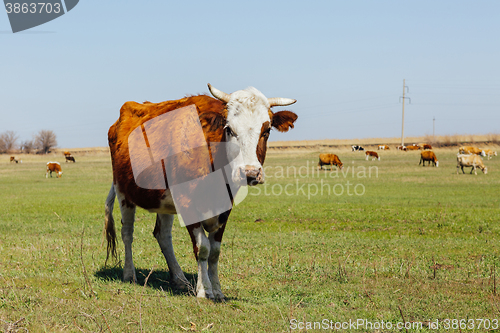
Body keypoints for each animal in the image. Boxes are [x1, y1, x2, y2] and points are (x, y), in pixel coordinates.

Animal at [102, 83, 296, 300]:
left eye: (267, 130)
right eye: (229, 129)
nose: (251, 173)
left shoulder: (224, 208)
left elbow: (215, 252)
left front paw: (217, 289)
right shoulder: (187, 203)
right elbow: (202, 248)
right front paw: (204, 290)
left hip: (164, 201)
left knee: (163, 235)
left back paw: (179, 279)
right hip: (123, 193)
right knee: (127, 232)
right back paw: (129, 274)